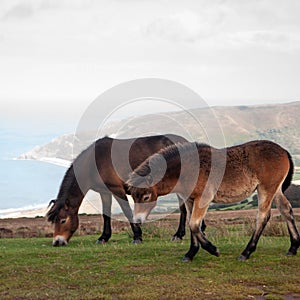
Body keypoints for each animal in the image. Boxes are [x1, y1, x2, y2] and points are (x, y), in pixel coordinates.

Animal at [46, 134, 192, 246]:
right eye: (53, 221)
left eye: (63, 220)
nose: (57, 242)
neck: (94, 162)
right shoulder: (105, 192)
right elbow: (106, 214)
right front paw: (103, 238)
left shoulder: (117, 190)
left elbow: (127, 211)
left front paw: (137, 236)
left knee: (184, 209)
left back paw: (178, 235)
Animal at [127, 141, 300, 260]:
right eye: (133, 196)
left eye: (146, 197)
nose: (138, 220)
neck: (189, 169)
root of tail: (284, 151)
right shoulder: (190, 200)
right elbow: (191, 224)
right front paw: (190, 254)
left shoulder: (204, 198)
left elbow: (194, 225)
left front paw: (213, 249)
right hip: (276, 190)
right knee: (286, 210)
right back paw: (292, 248)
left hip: (266, 189)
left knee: (263, 216)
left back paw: (246, 252)